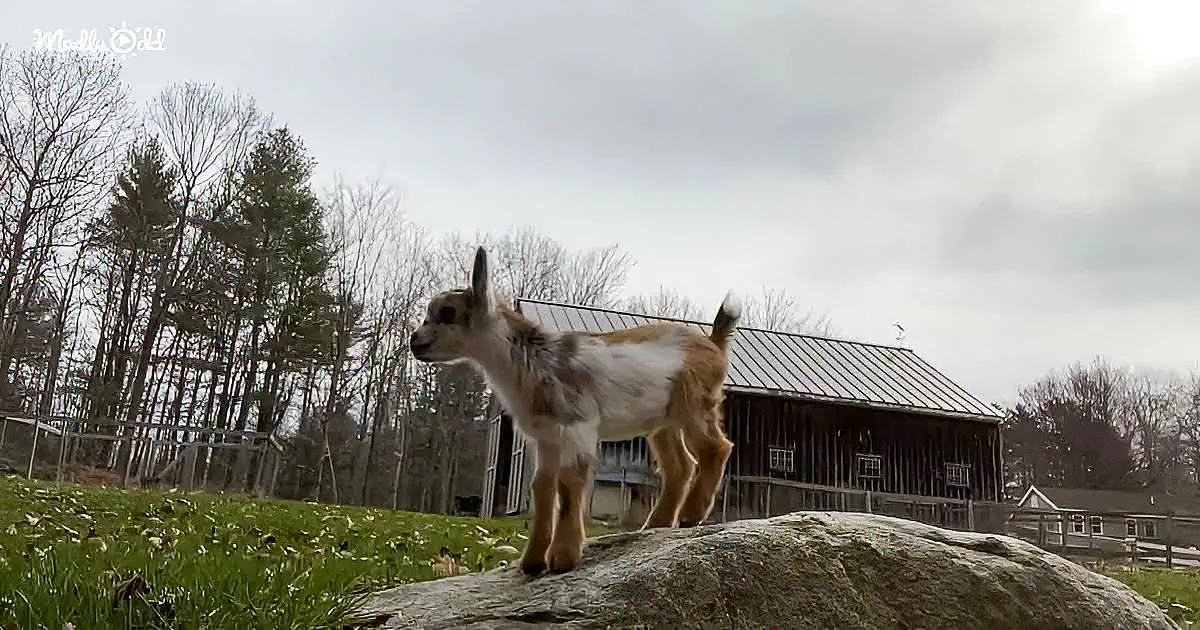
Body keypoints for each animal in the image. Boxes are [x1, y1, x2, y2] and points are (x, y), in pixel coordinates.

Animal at [410, 247, 741, 575]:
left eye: (448, 313)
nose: (414, 342)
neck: (533, 360)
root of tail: (713, 343)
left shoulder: (576, 426)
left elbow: (568, 485)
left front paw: (562, 559)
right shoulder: (544, 438)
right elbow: (542, 488)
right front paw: (531, 562)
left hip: (695, 403)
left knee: (716, 448)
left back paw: (690, 516)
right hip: (663, 421)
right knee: (680, 466)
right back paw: (655, 525)